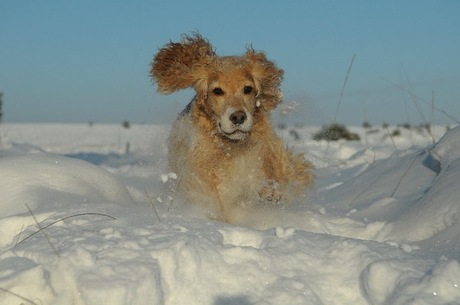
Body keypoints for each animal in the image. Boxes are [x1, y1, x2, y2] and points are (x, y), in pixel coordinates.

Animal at [151, 34, 312, 222]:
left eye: (247, 89)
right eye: (217, 91)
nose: (238, 117)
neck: (232, 146)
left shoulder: (264, 145)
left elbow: (274, 164)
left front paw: (272, 188)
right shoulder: (200, 166)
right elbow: (213, 193)